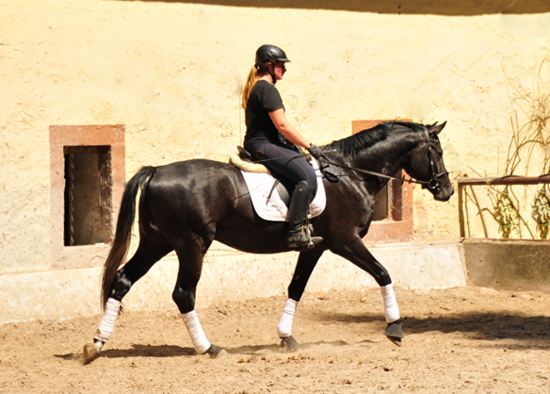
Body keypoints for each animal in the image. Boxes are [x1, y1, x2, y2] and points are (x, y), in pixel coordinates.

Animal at [81, 120, 452, 364]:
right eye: (436, 151)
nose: (446, 190)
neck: (351, 173)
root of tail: (157, 171)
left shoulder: (315, 246)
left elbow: (296, 287)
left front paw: (286, 337)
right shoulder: (344, 241)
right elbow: (383, 273)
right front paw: (395, 328)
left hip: (157, 242)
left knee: (123, 280)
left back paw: (96, 344)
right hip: (191, 245)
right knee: (183, 294)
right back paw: (208, 348)